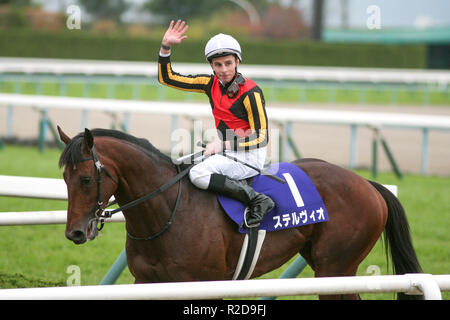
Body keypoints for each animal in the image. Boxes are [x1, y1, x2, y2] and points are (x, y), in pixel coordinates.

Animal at [56, 125, 422, 300]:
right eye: (65, 178)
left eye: (86, 178)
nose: (75, 232)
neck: (167, 213)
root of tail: (367, 183)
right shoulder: (145, 282)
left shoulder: (204, 285)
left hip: (336, 268)